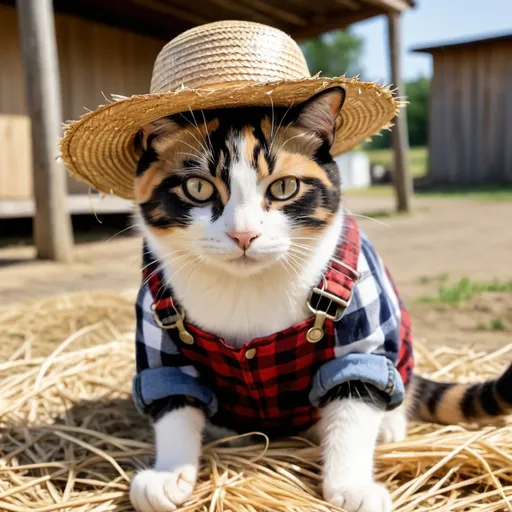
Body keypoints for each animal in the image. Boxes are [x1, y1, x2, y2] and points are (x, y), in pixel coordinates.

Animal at [129, 89, 512, 512]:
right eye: (197, 188)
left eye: (284, 187)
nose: (243, 234)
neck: (246, 290)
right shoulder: (156, 324)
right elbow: (172, 394)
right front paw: (168, 474)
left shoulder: (362, 323)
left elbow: (354, 404)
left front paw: (353, 485)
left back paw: (390, 423)